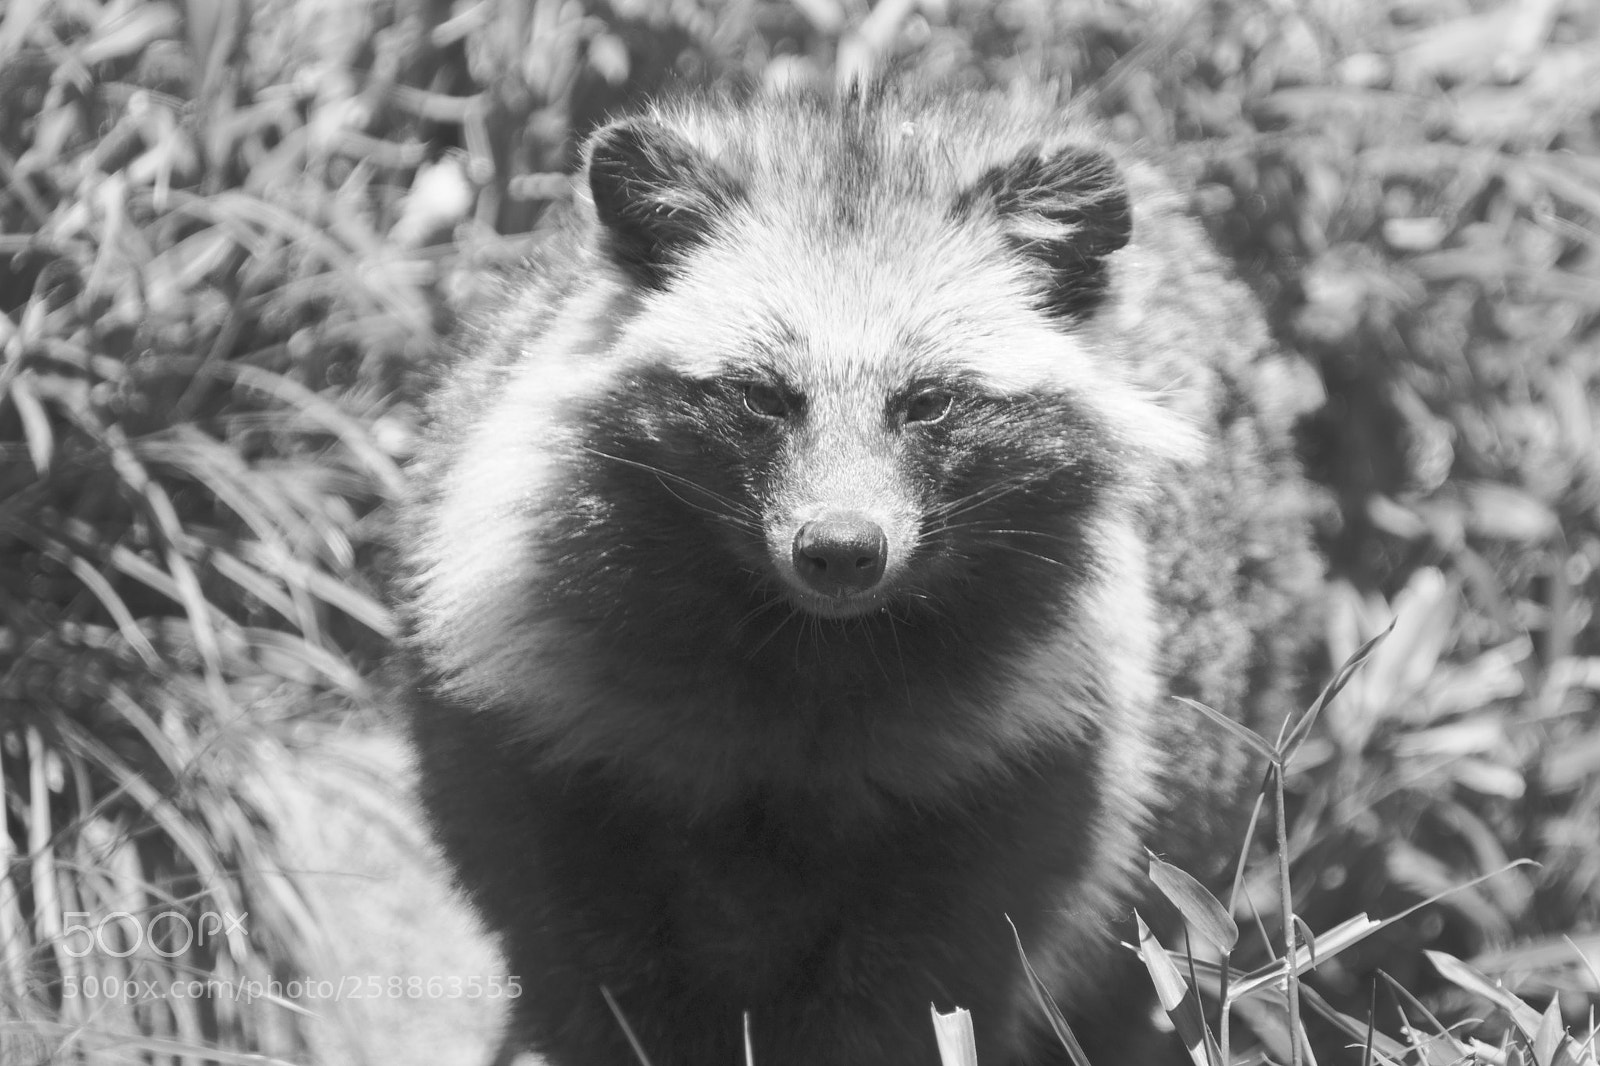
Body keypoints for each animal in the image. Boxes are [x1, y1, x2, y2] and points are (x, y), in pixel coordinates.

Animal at [397, 87, 1320, 1066]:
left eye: (928, 402)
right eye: (764, 396)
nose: (840, 548)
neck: (810, 647)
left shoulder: (1021, 772)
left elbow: (926, 996)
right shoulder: (538, 743)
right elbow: (598, 982)